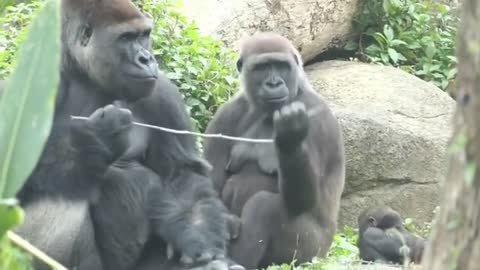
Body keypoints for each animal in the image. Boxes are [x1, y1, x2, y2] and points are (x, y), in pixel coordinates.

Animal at [202, 32, 344, 268]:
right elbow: (210, 186)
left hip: (313, 254)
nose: (274, 83)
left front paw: (290, 139)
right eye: (262, 68)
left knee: (265, 206)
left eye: (281, 66)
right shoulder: (226, 114)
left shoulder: (316, 115)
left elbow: (303, 201)